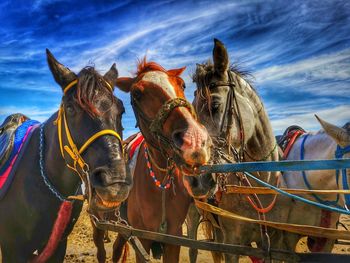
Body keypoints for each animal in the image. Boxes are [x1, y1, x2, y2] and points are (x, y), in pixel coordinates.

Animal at [91, 58, 212, 263]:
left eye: (182, 84)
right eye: (137, 94)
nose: (194, 140)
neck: (160, 183)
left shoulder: (173, 238)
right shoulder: (143, 239)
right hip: (98, 223)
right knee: (101, 251)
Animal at [183, 38, 350, 262]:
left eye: (215, 105)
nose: (195, 178)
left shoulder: (278, 242)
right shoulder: (234, 242)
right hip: (193, 214)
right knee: (192, 247)